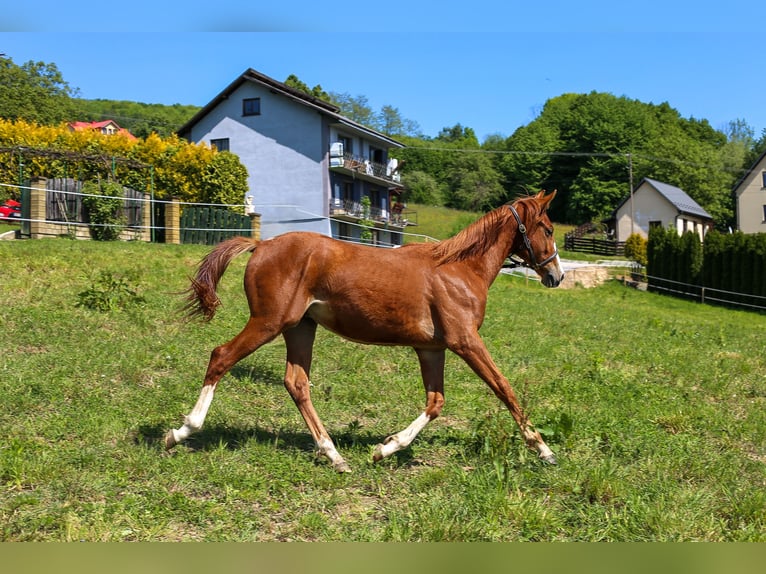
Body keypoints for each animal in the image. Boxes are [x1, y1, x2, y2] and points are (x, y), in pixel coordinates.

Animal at [166, 191, 564, 474]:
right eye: (547, 229)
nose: (556, 275)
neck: (460, 269)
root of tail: (261, 244)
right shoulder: (465, 341)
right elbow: (505, 389)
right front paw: (544, 449)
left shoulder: (432, 349)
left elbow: (435, 403)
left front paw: (385, 448)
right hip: (268, 322)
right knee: (221, 356)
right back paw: (180, 432)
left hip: (300, 328)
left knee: (296, 383)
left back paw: (335, 456)